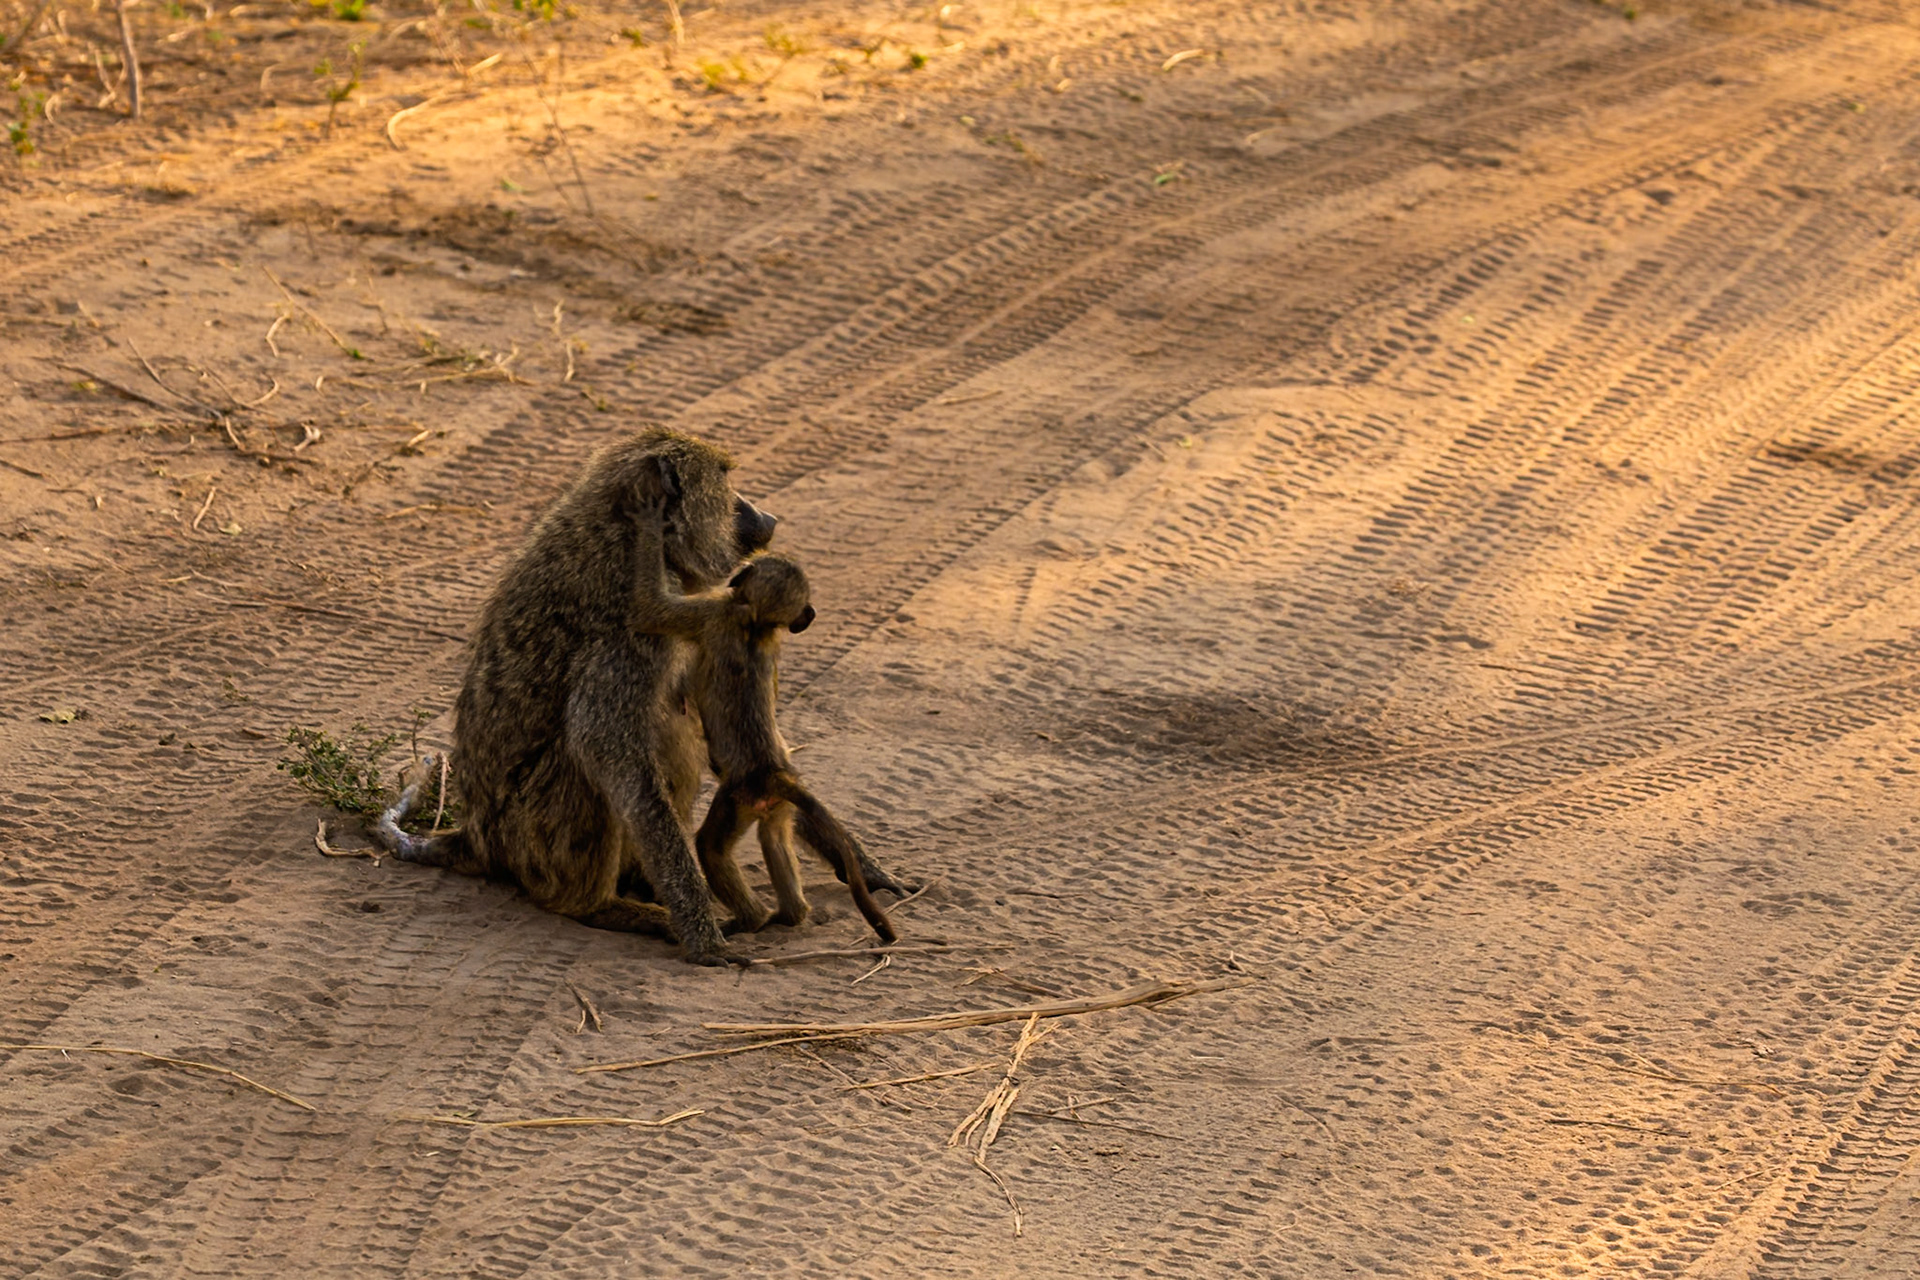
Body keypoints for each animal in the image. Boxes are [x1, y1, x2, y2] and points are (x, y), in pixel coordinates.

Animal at [373, 427, 778, 966]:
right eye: (727, 481)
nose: (766, 516)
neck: (628, 531)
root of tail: (477, 840)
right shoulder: (630, 629)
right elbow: (604, 747)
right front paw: (702, 935)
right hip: (533, 840)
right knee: (586, 760)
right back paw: (600, 907)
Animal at [684, 552, 905, 944]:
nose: (812, 612)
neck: (756, 624)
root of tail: (770, 771)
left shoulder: (714, 612)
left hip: (737, 798)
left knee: (712, 848)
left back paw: (752, 919)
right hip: (768, 802)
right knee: (774, 835)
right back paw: (792, 914)